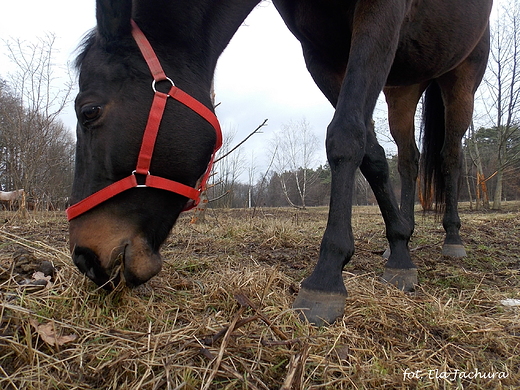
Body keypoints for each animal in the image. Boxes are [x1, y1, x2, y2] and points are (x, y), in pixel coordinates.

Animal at [68, 0, 492, 326]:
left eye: (89, 111)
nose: (84, 257)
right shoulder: (321, 52)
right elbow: (371, 153)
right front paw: (400, 250)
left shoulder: (380, 14)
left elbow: (345, 136)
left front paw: (327, 275)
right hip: (402, 89)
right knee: (408, 160)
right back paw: (400, 241)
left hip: (461, 77)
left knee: (450, 157)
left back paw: (452, 237)